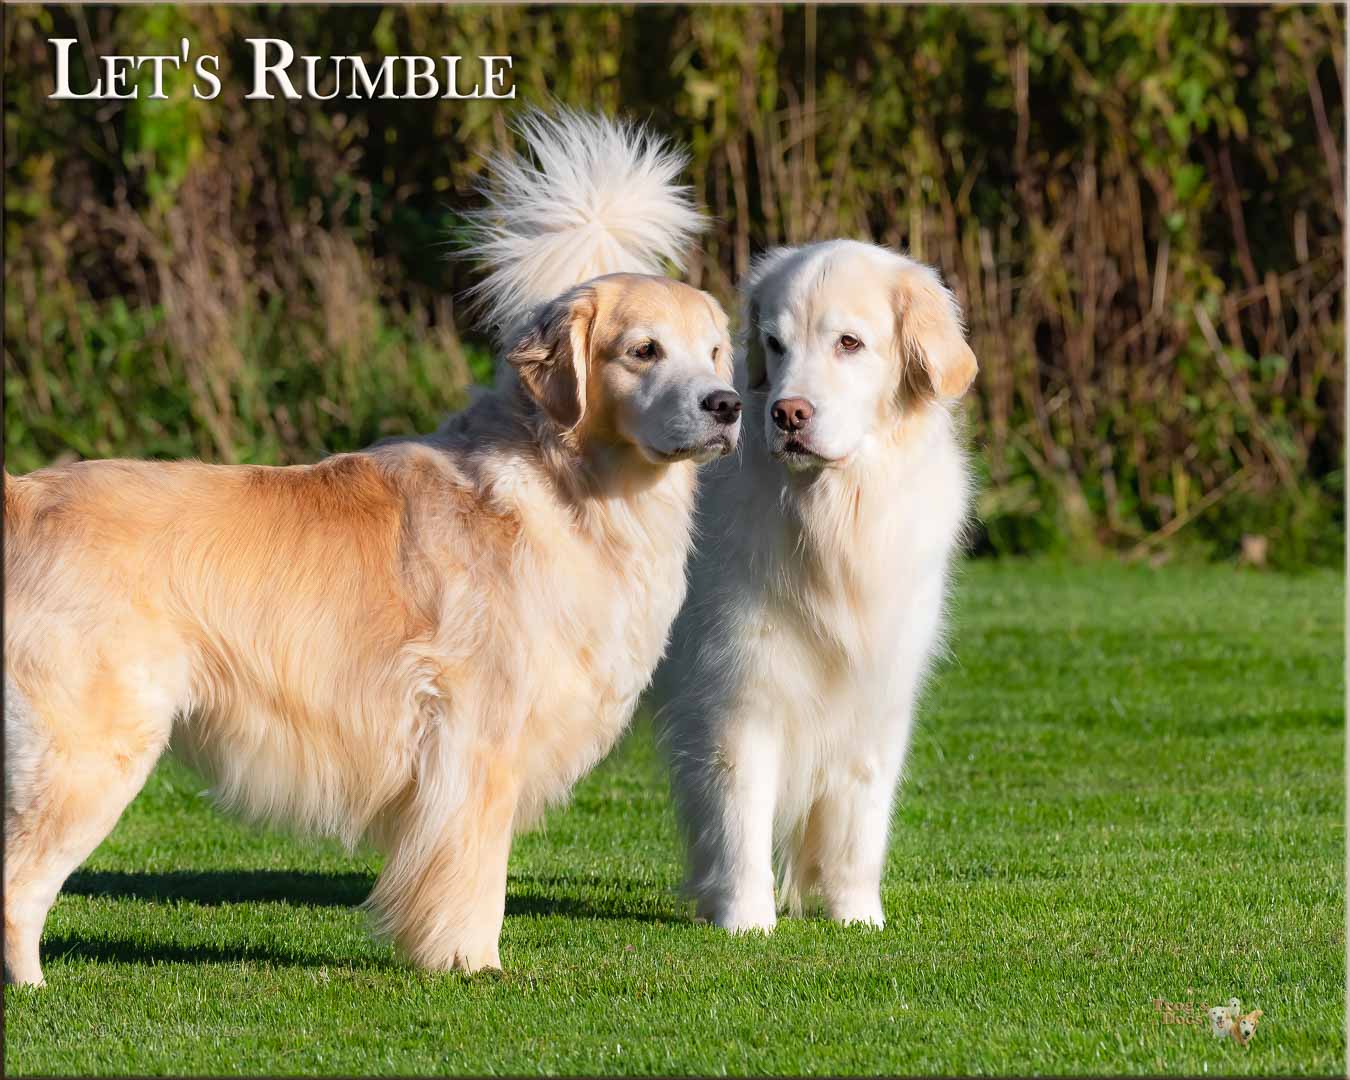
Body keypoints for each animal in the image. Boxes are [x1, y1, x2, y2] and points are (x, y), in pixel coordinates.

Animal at [2, 112, 739, 988]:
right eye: (644, 351)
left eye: (715, 353)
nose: (727, 405)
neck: (569, 486)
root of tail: (23, 494)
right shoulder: (476, 743)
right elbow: (472, 875)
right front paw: (470, 964)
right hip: (91, 750)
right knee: (18, 886)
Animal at [653, 240, 972, 934]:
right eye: (774, 344)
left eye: (849, 343)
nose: (788, 413)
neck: (833, 518)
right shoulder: (739, 696)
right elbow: (740, 820)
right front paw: (747, 921)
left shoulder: (877, 698)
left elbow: (860, 826)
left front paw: (857, 915)